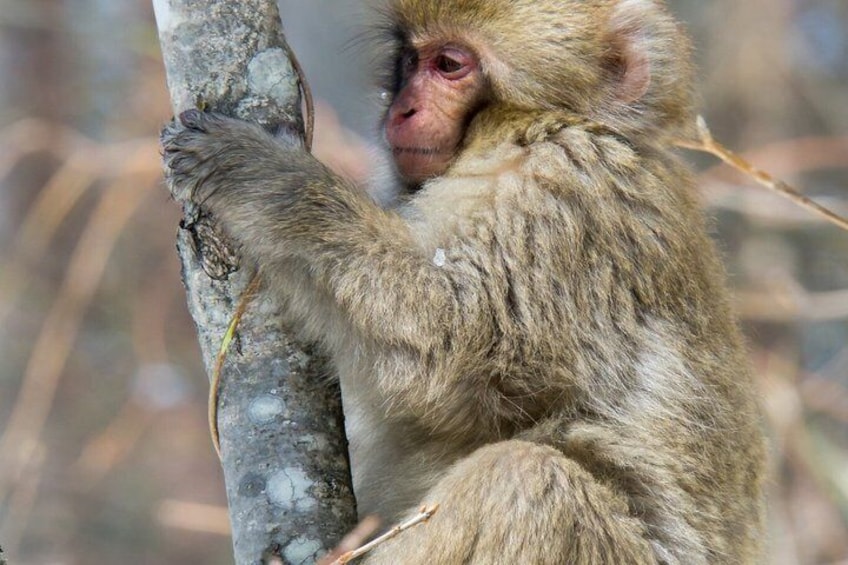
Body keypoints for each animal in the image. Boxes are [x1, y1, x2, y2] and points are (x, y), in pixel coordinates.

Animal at [161, 0, 767, 562]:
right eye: (410, 60)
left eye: (450, 65)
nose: (401, 109)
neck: (542, 128)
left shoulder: (566, 197)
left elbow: (451, 339)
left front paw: (263, 176)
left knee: (527, 483)